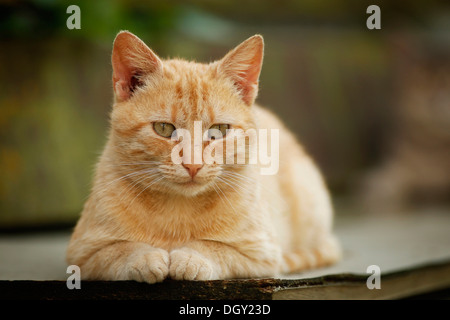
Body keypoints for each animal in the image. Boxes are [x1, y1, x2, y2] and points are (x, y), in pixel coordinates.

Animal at [66, 30, 342, 282]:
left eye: (219, 130)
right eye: (163, 128)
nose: (193, 164)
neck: (177, 210)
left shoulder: (261, 254)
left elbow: (215, 247)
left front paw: (190, 258)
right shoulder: (82, 255)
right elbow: (121, 250)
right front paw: (145, 257)